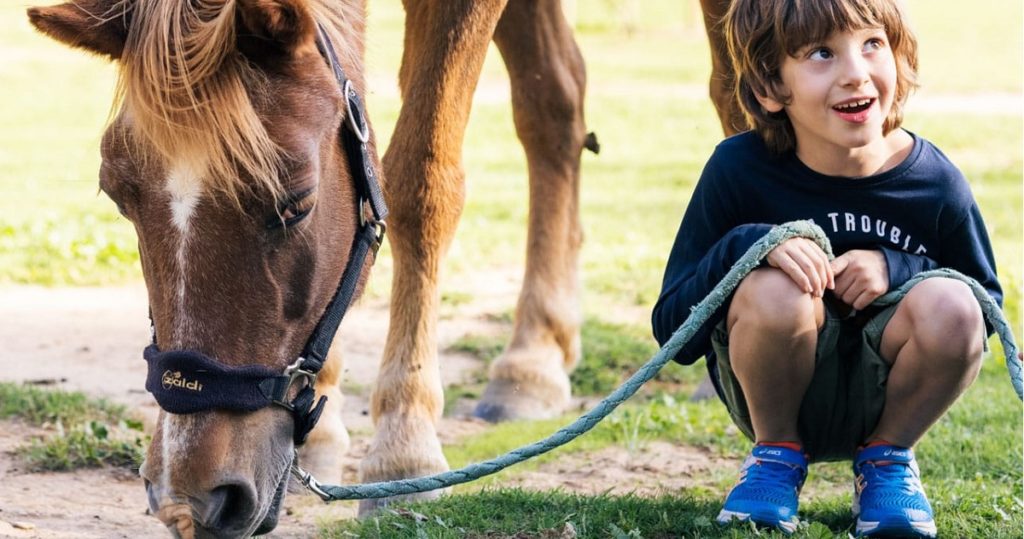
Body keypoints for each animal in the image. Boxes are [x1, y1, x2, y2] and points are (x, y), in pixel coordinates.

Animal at [28, 0, 741, 536]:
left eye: (295, 203)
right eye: (117, 196)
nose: (191, 498)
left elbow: (421, 178)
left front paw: (404, 446)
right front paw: (325, 423)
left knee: (729, 90)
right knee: (556, 105)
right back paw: (535, 355)